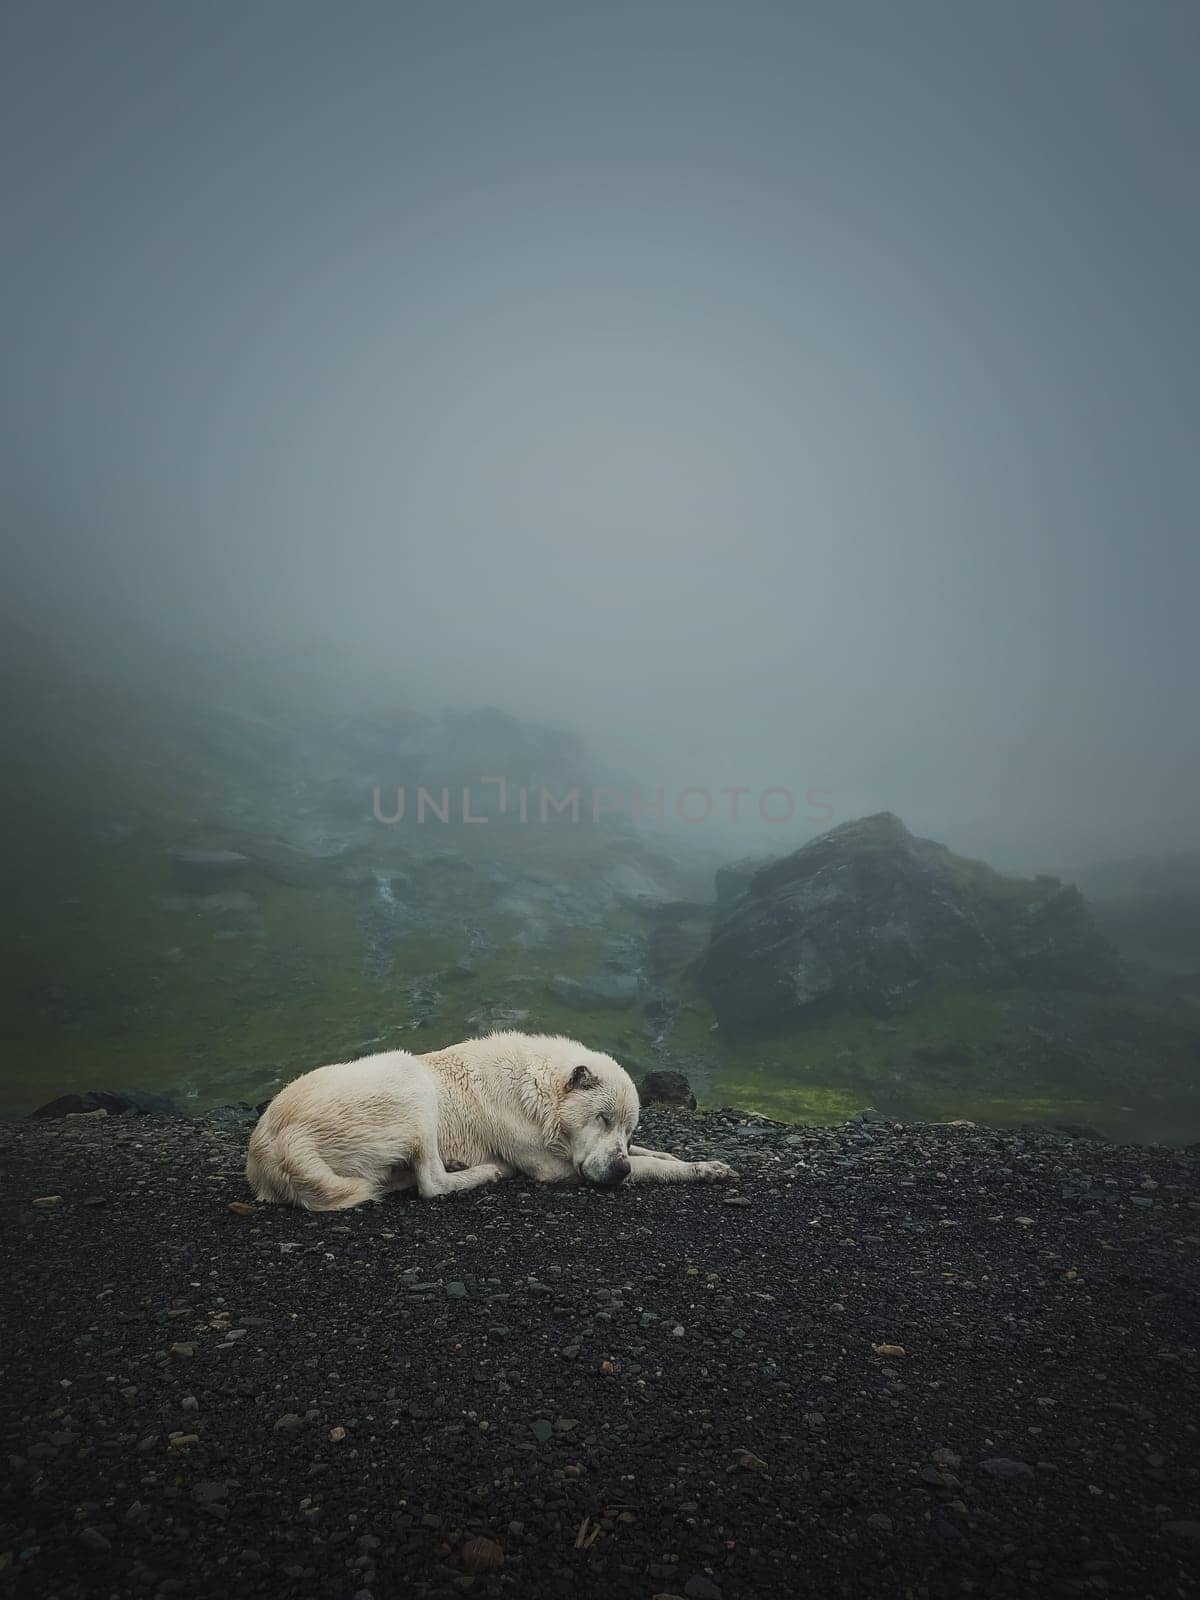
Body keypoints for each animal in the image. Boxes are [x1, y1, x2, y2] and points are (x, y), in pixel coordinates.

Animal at [248, 1030, 739, 1203]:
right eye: (601, 1118)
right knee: (433, 1184)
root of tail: (274, 1143)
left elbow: (650, 1154)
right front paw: (699, 1169)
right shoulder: (555, 1167)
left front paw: (687, 1159)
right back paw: (487, 1172)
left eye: (628, 1127)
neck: (539, 1095)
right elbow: (647, 1166)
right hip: (408, 1077)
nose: (617, 1173)